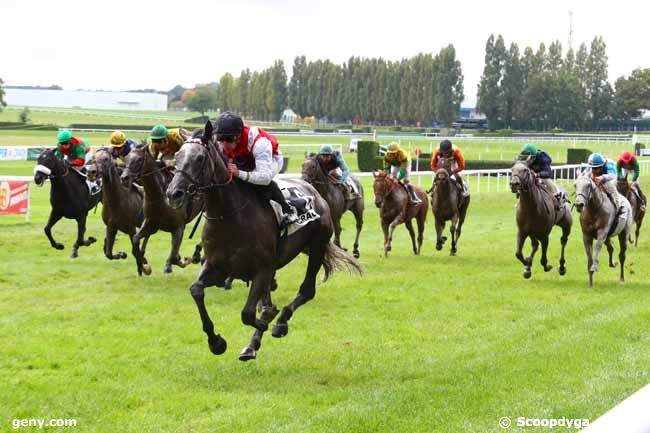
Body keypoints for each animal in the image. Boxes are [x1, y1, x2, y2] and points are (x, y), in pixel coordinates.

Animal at [119, 143, 202, 276]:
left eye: (139, 159)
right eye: (126, 159)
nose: (124, 178)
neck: (159, 196)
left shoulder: (178, 227)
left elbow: (173, 254)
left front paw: (176, 262)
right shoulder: (150, 223)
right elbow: (136, 239)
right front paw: (144, 265)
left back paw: (197, 255)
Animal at [165, 120, 362, 360]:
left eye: (200, 158)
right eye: (177, 156)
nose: (173, 193)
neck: (230, 216)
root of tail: (314, 191)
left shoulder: (262, 269)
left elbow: (249, 313)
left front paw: (268, 321)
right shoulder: (217, 267)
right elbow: (196, 290)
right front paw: (216, 341)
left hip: (317, 246)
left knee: (306, 291)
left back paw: (281, 322)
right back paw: (254, 341)